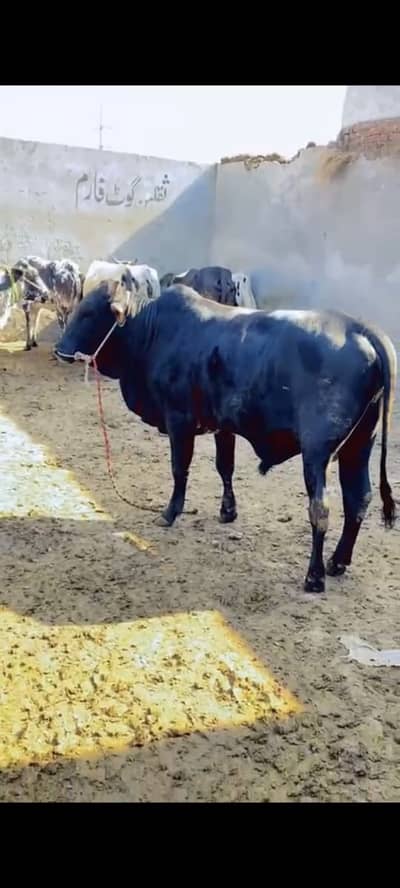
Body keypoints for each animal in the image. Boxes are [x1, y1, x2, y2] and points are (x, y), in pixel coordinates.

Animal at [55, 284, 397, 595]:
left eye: (88, 313)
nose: (59, 349)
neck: (151, 330)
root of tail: (356, 326)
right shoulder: (223, 425)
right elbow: (225, 467)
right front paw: (227, 512)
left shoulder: (179, 418)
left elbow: (179, 469)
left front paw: (170, 512)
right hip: (359, 444)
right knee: (357, 499)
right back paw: (337, 562)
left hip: (316, 451)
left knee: (321, 509)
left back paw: (315, 577)